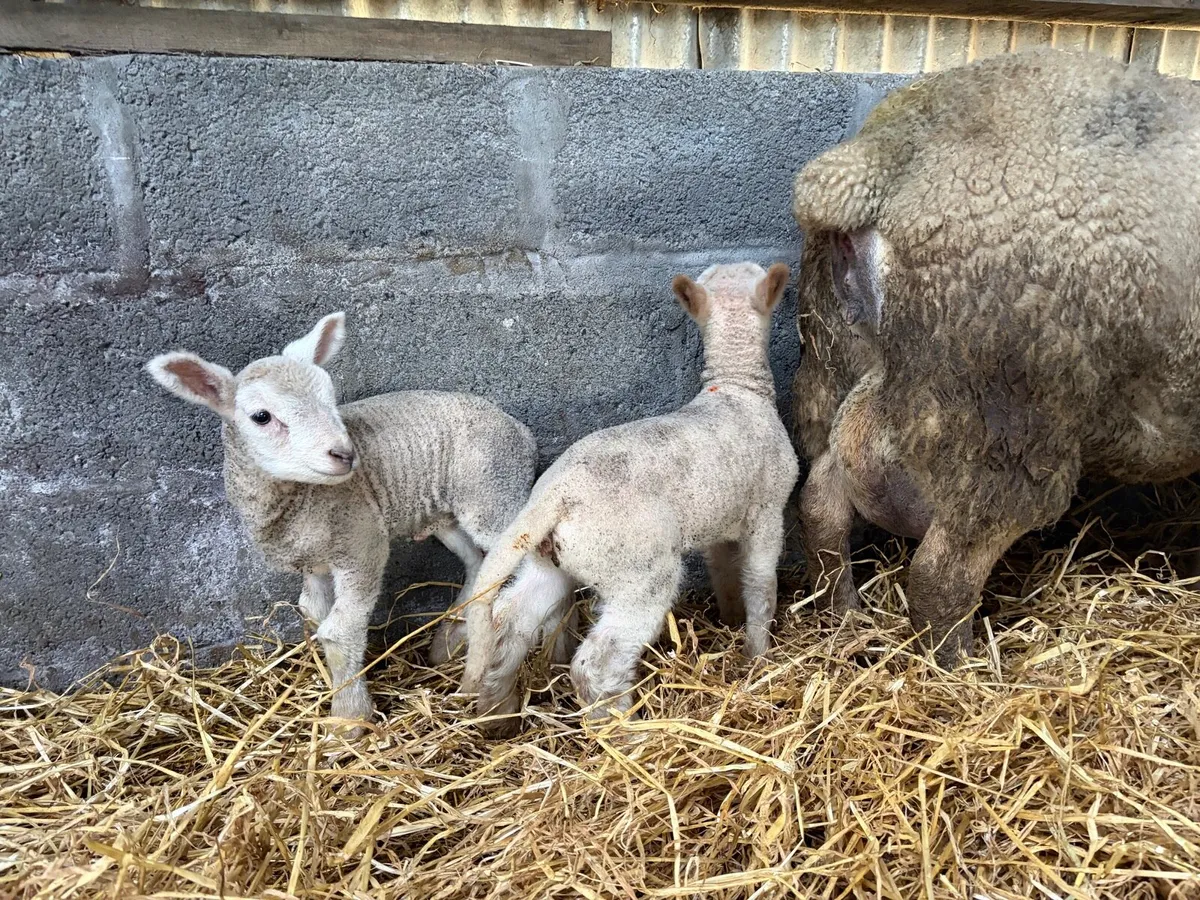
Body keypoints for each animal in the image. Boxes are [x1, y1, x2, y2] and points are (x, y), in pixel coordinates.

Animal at [146, 312, 571, 732]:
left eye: (330, 398)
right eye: (261, 417)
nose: (344, 454)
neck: (297, 502)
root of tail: (520, 431)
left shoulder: (361, 543)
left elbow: (339, 632)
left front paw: (348, 719)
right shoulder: (313, 561)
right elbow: (313, 611)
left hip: (492, 495)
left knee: (542, 566)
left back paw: (538, 661)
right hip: (447, 515)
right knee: (478, 563)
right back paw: (454, 640)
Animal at [459, 263, 800, 737]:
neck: (736, 389)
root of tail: (555, 496)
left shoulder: (719, 522)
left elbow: (724, 573)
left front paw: (732, 620)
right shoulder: (768, 508)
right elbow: (760, 584)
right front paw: (758, 655)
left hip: (550, 560)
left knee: (509, 623)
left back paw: (499, 713)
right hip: (638, 568)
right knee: (596, 662)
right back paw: (625, 730)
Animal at [790, 48, 1200, 667]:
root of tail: (881, 160)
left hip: (838, 365)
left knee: (821, 506)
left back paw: (842, 618)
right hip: (999, 423)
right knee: (940, 575)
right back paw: (966, 668)